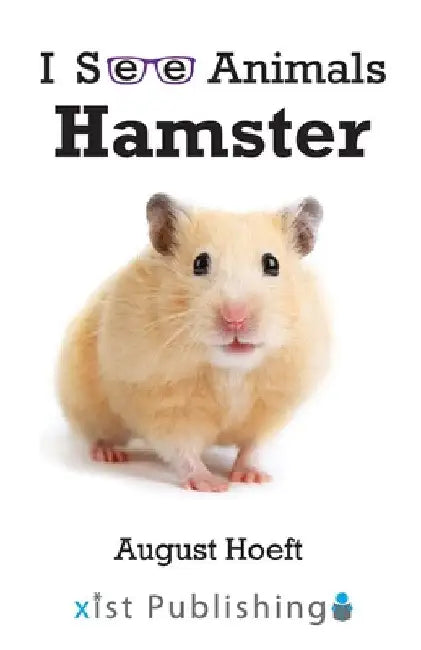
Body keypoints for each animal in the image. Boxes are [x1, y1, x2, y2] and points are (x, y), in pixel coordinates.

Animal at [57, 193, 329, 492]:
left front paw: (253, 478)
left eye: (272, 264)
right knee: (99, 434)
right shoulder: (162, 405)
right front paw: (213, 484)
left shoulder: (271, 408)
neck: (231, 369)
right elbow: (182, 450)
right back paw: (108, 454)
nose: (235, 318)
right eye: (200, 263)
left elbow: (253, 446)